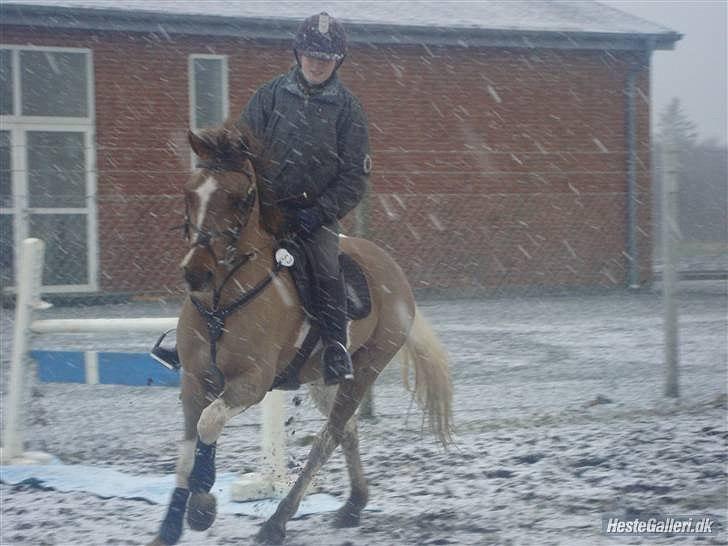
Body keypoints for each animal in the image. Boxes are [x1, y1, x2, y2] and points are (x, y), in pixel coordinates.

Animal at [147, 121, 453, 545]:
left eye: (239, 198)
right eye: (190, 192)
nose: (196, 272)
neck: (222, 299)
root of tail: (392, 269)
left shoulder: (251, 383)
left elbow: (209, 423)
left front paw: (202, 504)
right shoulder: (194, 380)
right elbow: (188, 447)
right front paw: (171, 525)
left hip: (365, 369)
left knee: (329, 437)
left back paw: (277, 522)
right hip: (321, 379)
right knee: (348, 431)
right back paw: (353, 504)